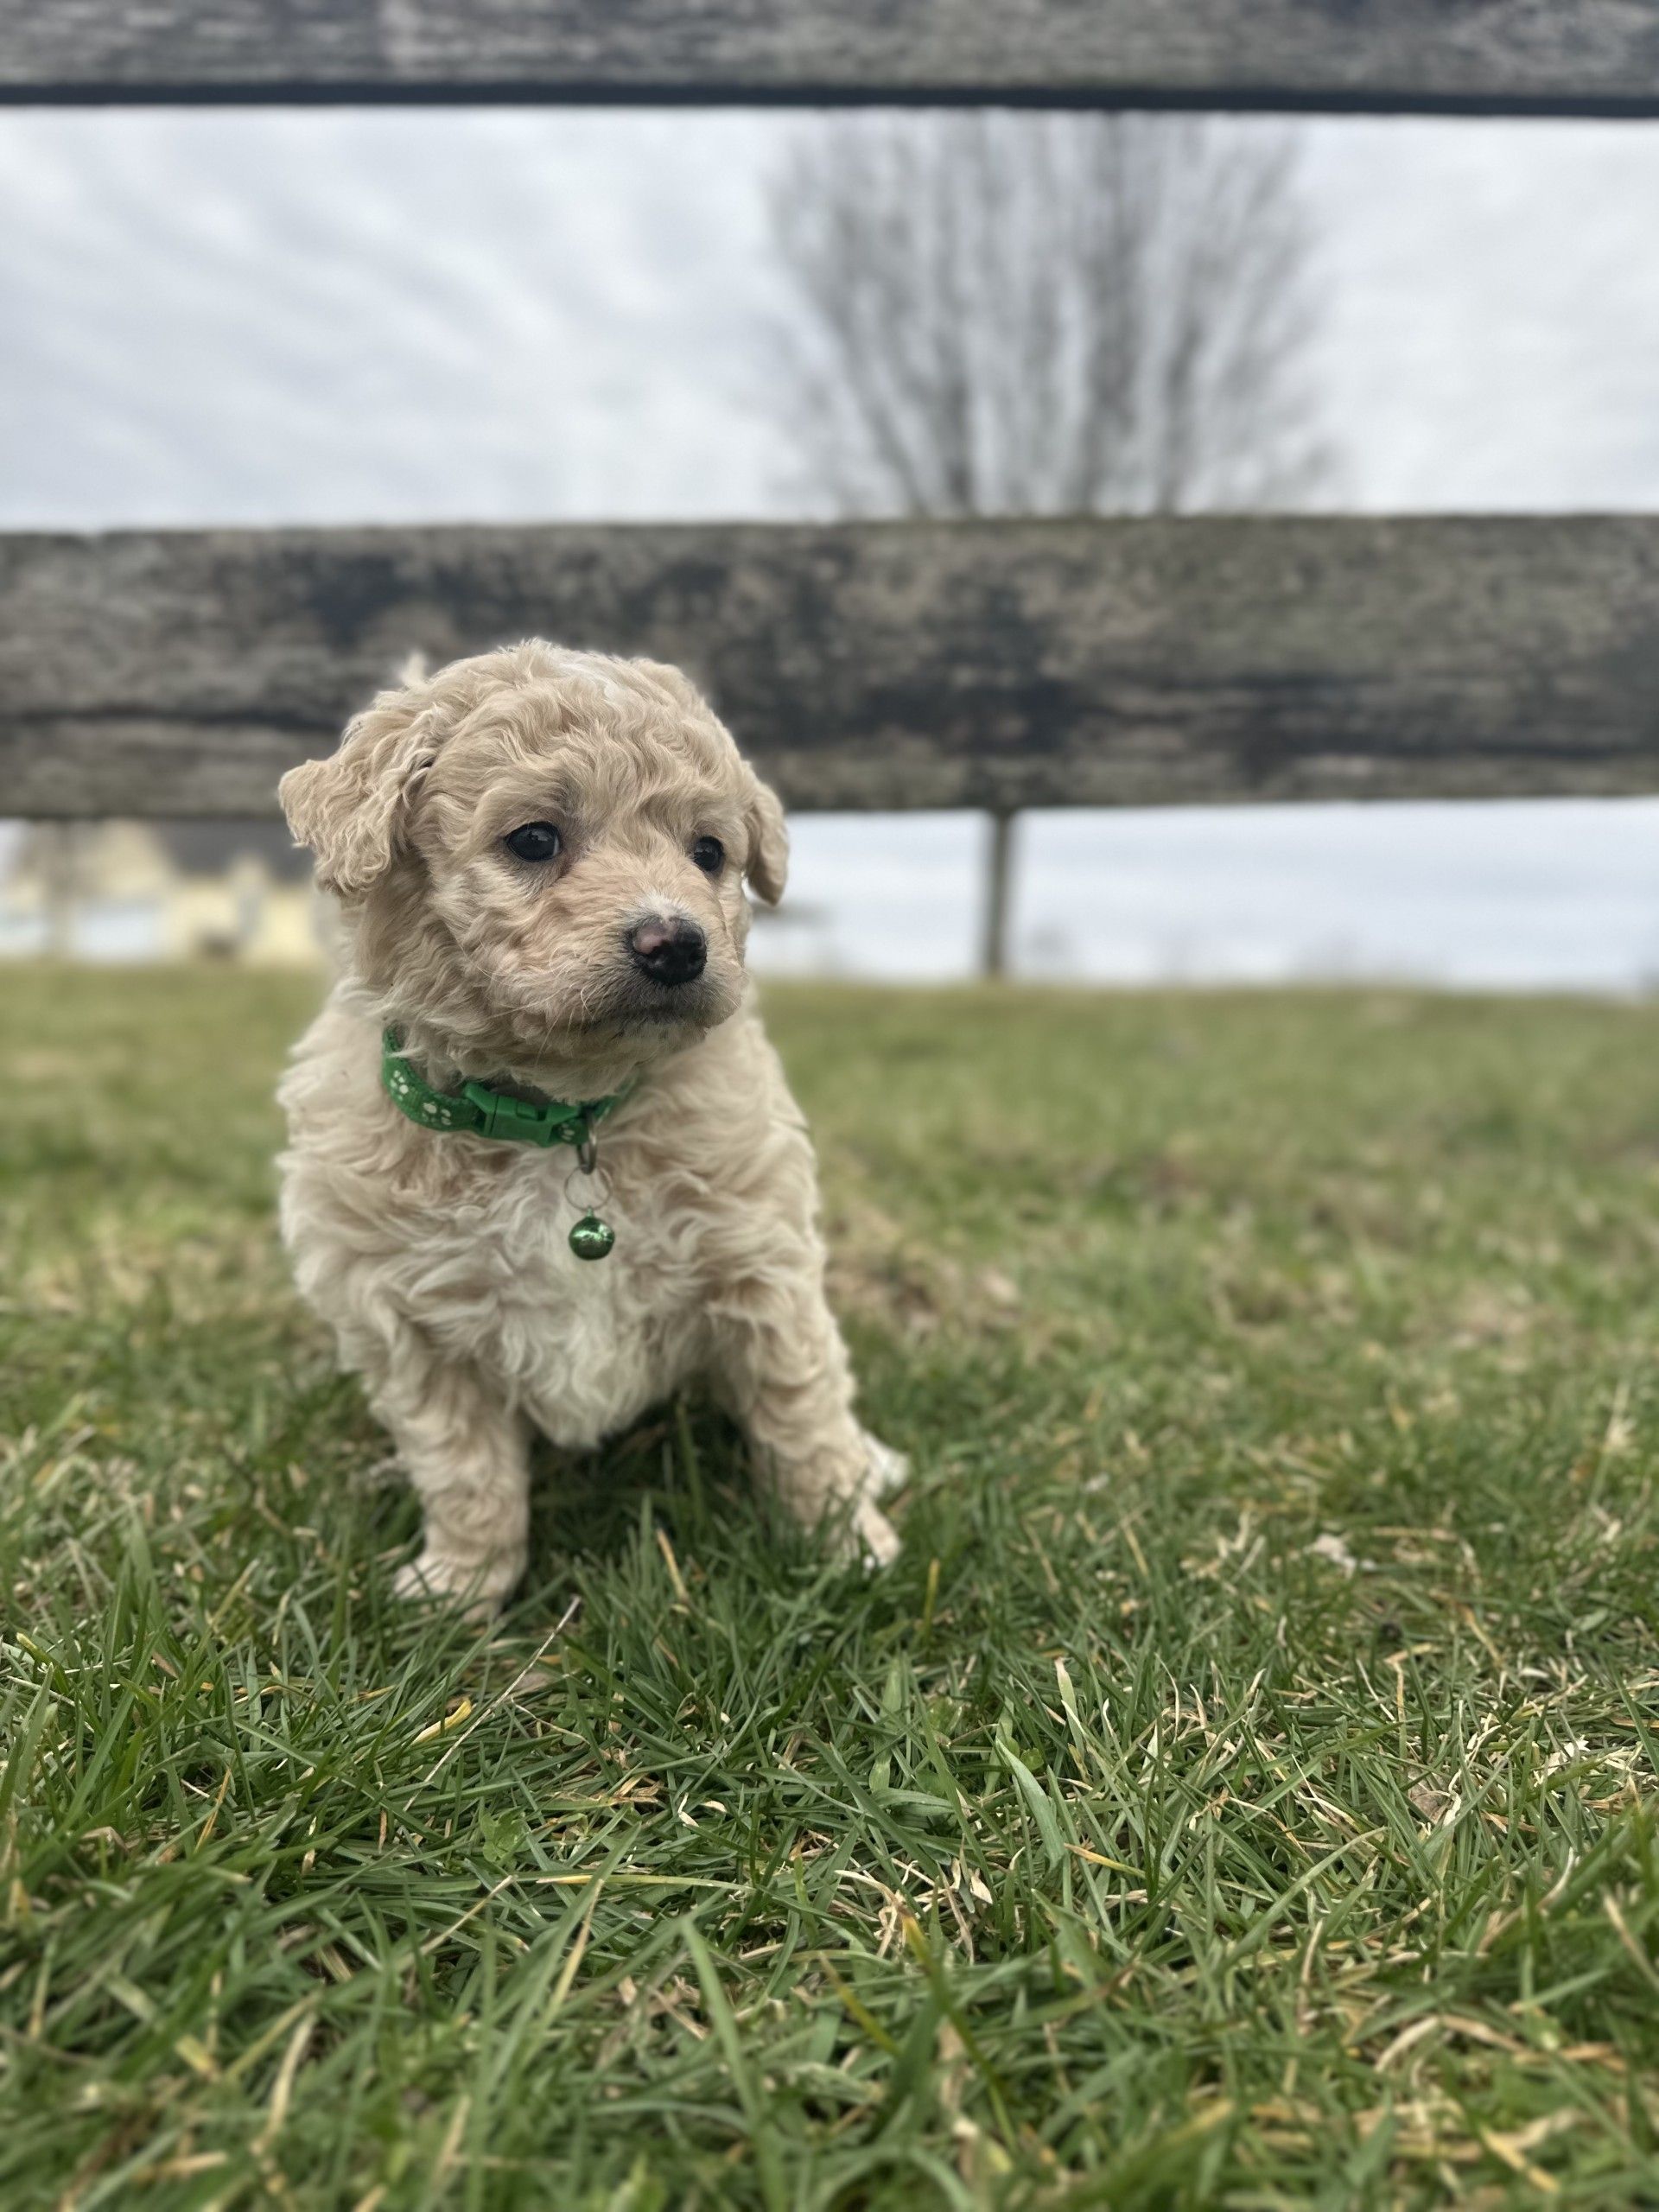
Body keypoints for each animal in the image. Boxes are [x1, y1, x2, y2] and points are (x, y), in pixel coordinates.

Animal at [283, 641, 911, 1610]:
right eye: (535, 839)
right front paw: (462, 1588)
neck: (559, 1120)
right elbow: (462, 1465)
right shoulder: (407, 1323)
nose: (677, 944)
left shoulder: (761, 1263)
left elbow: (800, 1409)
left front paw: (850, 1548)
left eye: (708, 852)